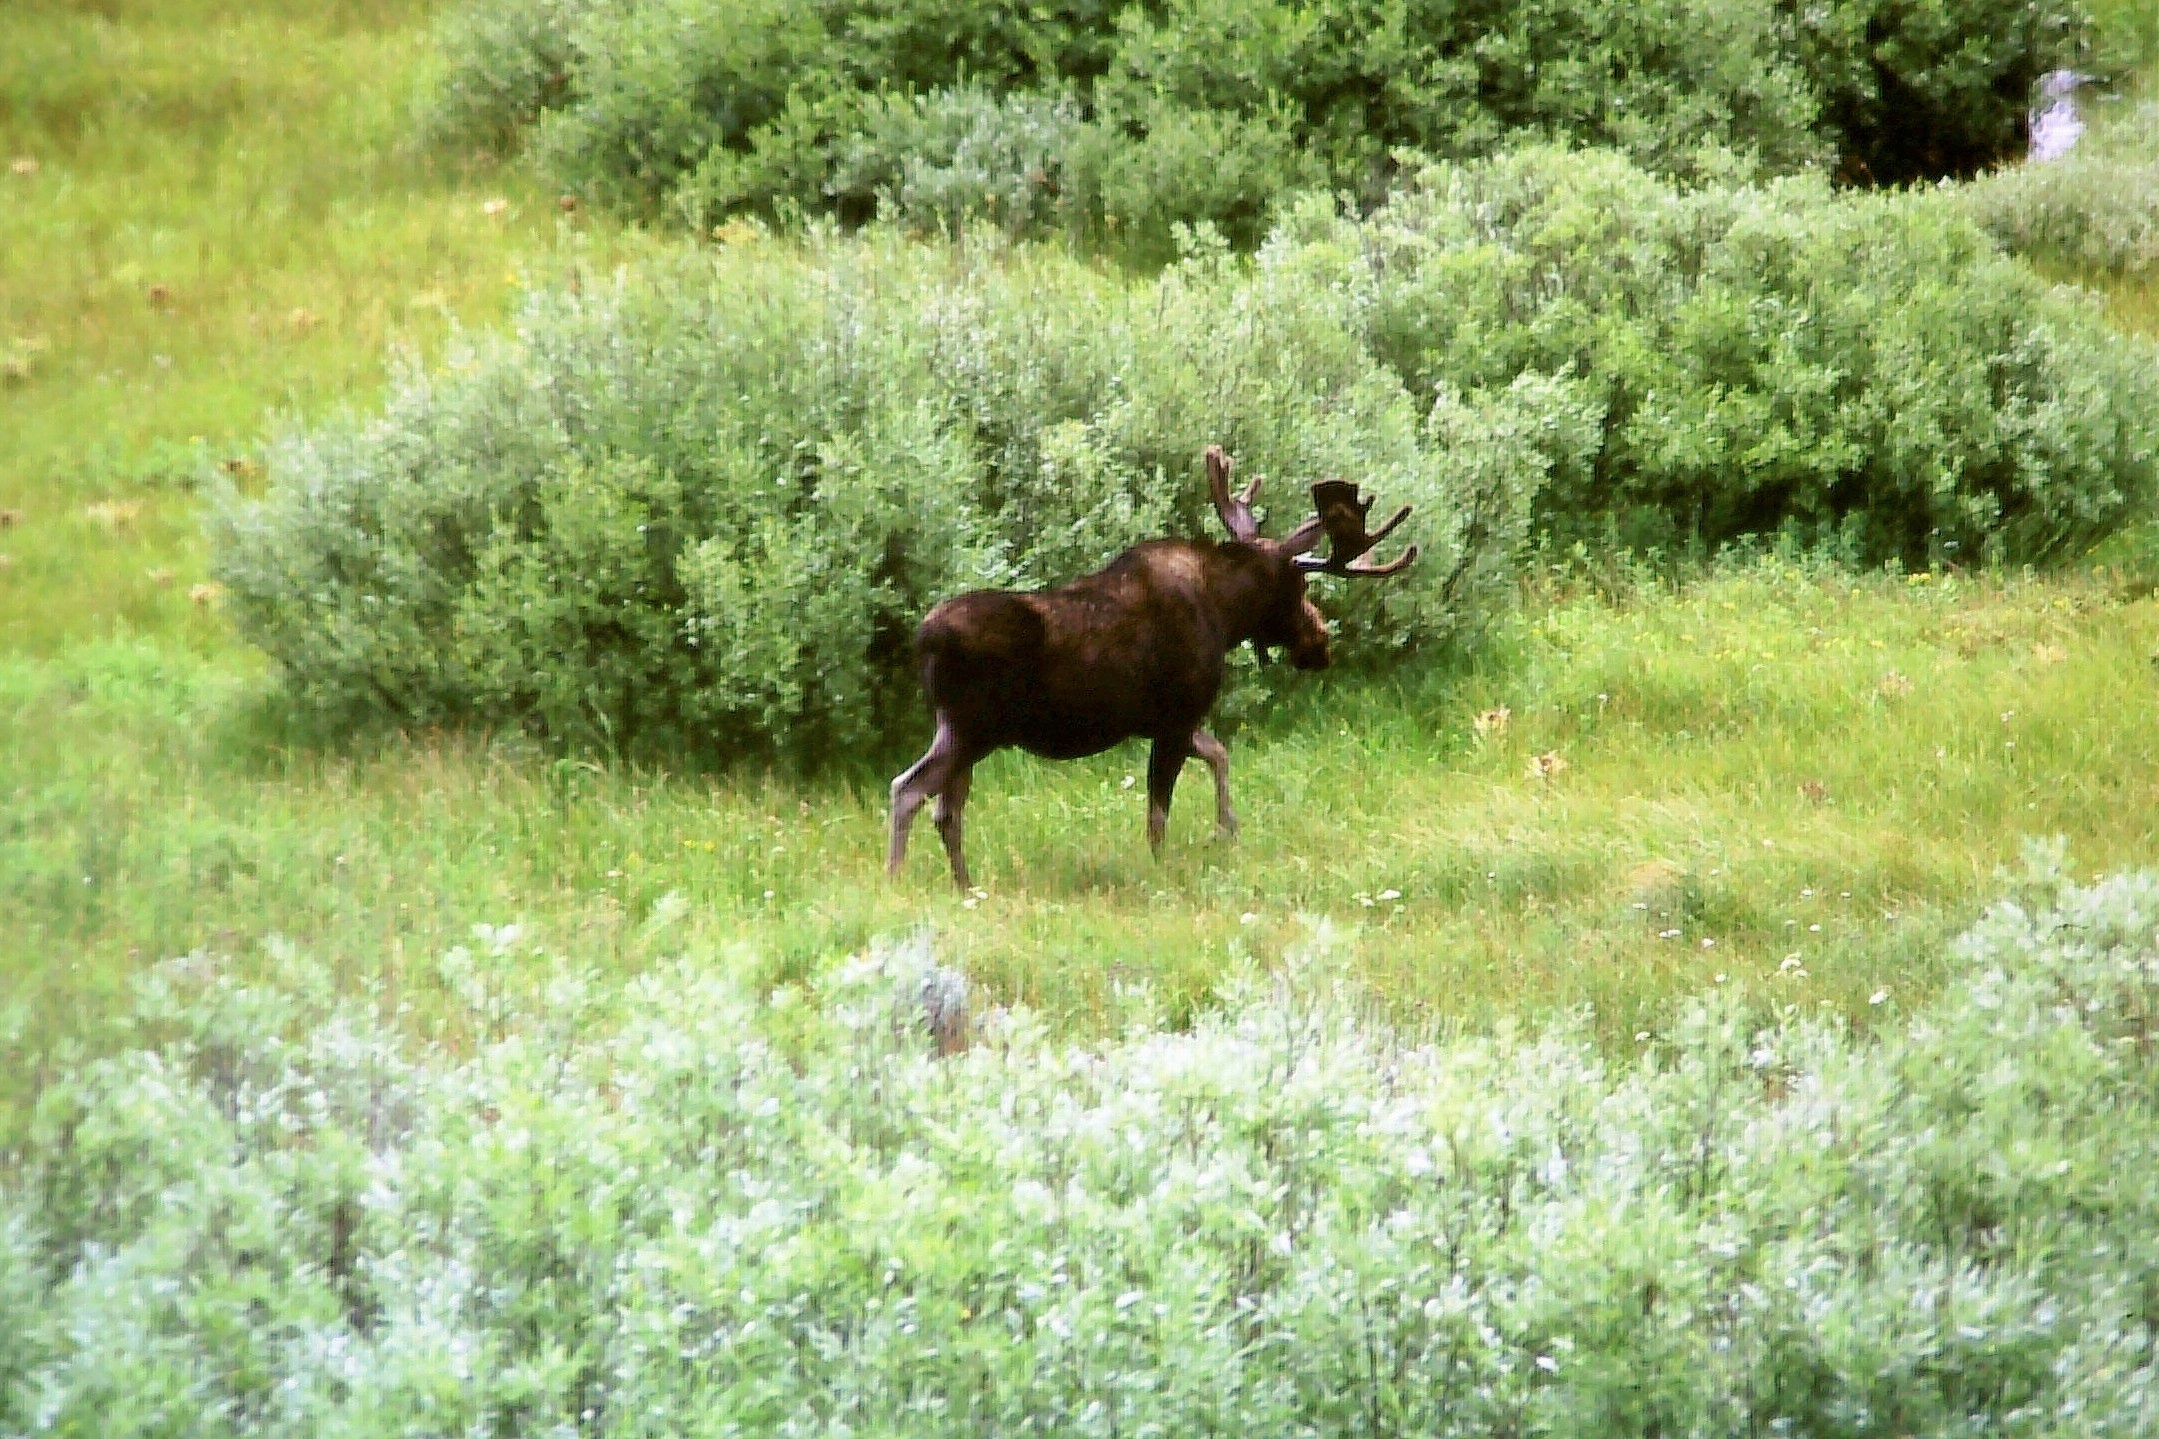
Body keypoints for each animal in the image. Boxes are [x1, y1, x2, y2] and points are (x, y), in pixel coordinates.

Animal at [887, 445, 1417, 889]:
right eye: (1298, 587)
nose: (1320, 642)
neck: (1226, 614)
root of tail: (924, 640)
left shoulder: (1166, 721)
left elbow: (1219, 755)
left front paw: (1227, 830)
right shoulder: (1178, 717)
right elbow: (1159, 812)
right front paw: (1166, 867)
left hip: (958, 731)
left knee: (944, 809)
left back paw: (965, 886)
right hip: (974, 729)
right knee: (909, 790)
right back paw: (896, 882)